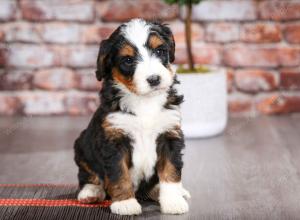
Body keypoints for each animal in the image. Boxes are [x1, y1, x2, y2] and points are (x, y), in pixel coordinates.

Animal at [73, 18, 189, 215]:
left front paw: (173, 201)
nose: (154, 79)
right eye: (128, 60)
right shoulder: (113, 141)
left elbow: (171, 171)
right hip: (82, 147)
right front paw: (125, 203)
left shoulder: (169, 135)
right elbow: (119, 174)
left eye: (160, 51)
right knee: (88, 175)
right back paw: (91, 192)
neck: (144, 101)